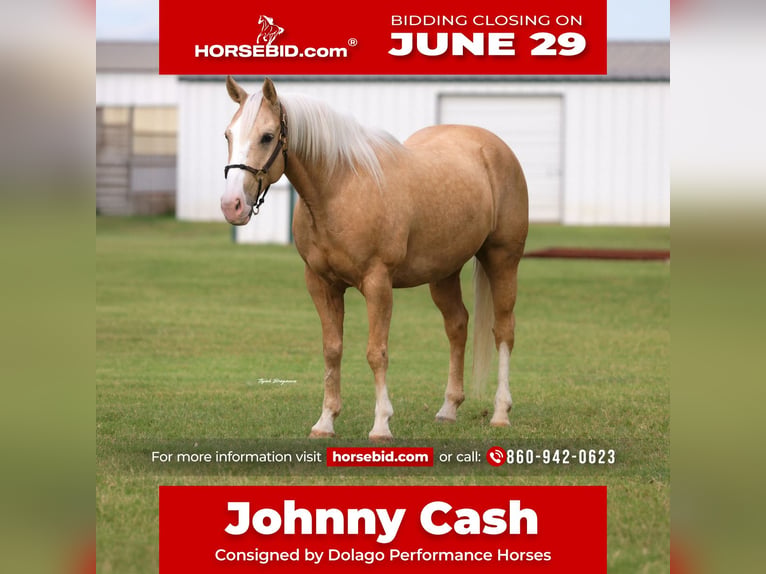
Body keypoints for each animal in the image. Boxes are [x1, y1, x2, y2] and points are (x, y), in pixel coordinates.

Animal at [221, 77, 528, 440]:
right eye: (228, 135)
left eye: (267, 136)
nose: (232, 205)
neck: (340, 188)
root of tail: (493, 147)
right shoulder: (321, 284)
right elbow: (332, 349)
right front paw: (326, 421)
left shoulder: (377, 283)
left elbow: (376, 353)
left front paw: (381, 424)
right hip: (444, 272)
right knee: (457, 326)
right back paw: (448, 409)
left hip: (503, 259)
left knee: (504, 330)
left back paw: (500, 412)